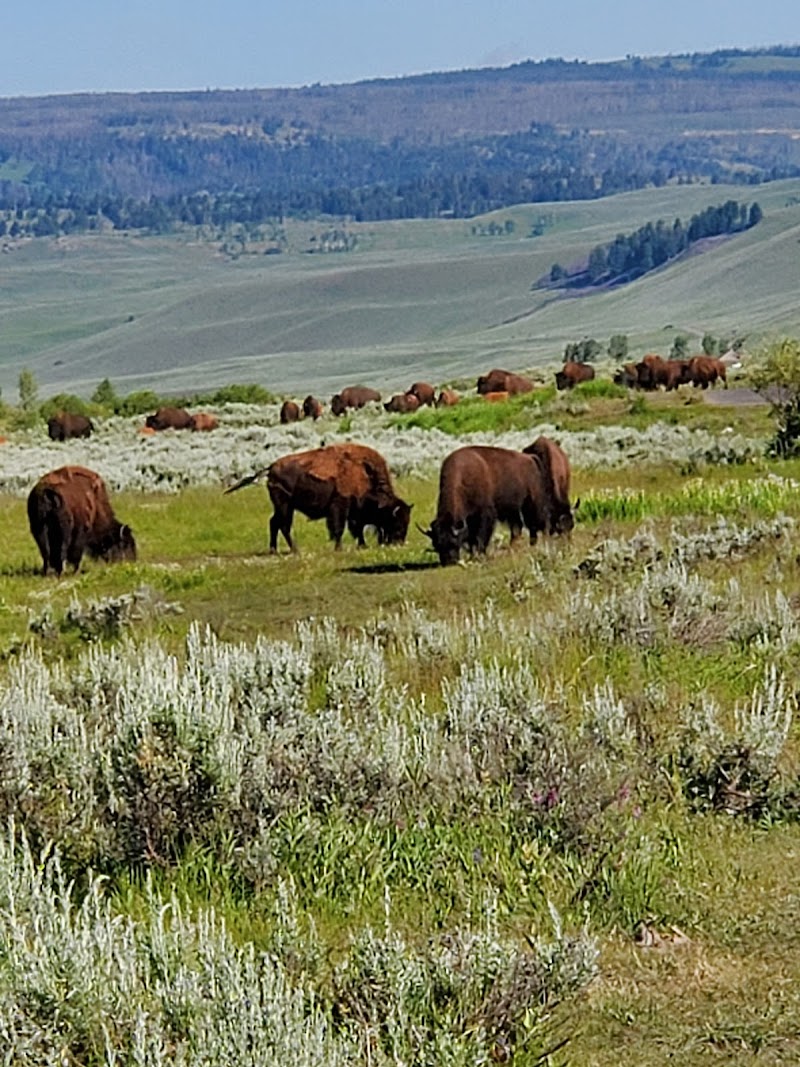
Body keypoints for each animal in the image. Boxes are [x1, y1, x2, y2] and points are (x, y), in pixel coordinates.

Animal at [226, 443, 411, 553]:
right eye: (396, 520)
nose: (399, 542)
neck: (364, 472)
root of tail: (271, 467)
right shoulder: (340, 508)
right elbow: (339, 529)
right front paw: (339, 548)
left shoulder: (355, 512)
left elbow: (357, 529)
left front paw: (362, 545)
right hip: (284, 506)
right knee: (283, 525)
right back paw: (295, 550)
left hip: (284, 507)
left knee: (274, 523)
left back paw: (274, 550)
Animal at [420, 446, 551, 565]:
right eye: (436, 544)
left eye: (454, 542)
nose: (449, 561)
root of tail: (530, 458)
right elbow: (472, 538)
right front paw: (473, 555)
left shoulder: (484, 515)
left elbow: (481, 535)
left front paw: (480, 554)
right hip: (512, 510)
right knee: (517, 526)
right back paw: (514, 547)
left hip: (532, 502)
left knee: (537, 523)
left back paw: (538, 544)